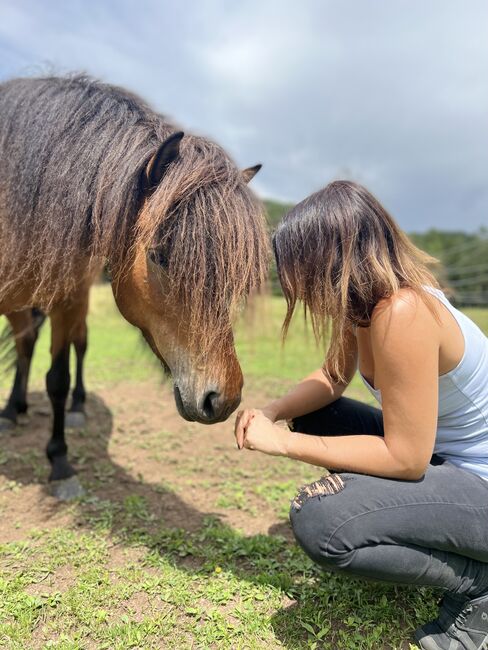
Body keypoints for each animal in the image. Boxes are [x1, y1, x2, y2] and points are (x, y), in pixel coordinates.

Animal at [0, 73, 268, 494]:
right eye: (160, 255)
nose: (223, 399)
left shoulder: (67, 300)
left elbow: (58, 379)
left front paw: (60, 463)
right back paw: (13, 410)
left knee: (66, 346)